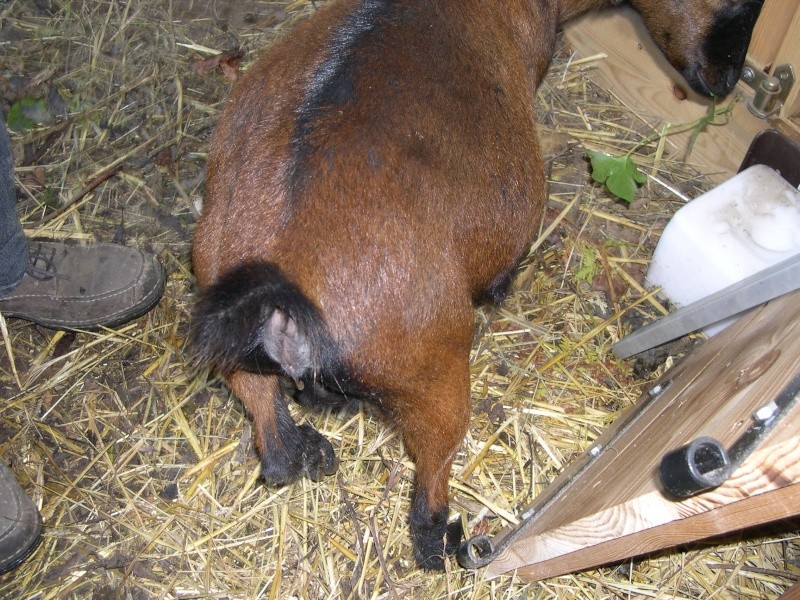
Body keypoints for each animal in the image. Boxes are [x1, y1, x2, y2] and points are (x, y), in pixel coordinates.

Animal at [191, 0, 764, 572]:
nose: (726, 82)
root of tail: (281, 284)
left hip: (226, 320)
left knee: (273, 438)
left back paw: (314, 442)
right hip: (432, 372)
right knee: (429, 480)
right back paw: (445, 541)